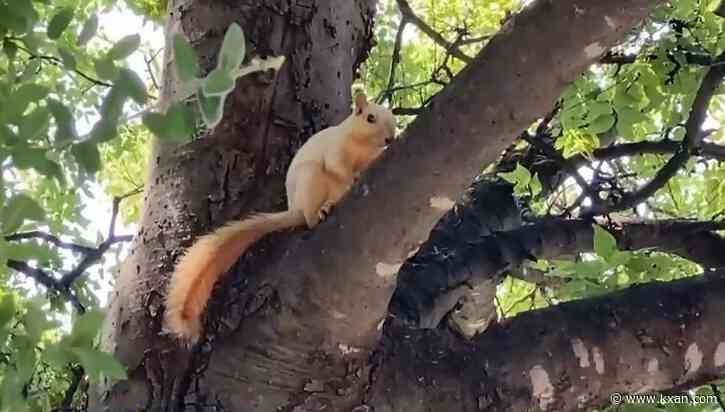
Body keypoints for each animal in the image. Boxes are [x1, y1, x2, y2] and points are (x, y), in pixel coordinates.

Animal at [163, 92, 396, 341]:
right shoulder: (336, 150)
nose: (390, 138)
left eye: (393, 119)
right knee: (310, 216)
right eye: (370, 118)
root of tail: (295, 209)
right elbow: (338, 169)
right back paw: (321, 211)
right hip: (311, 178)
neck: (362, 146)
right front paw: (351, 178)